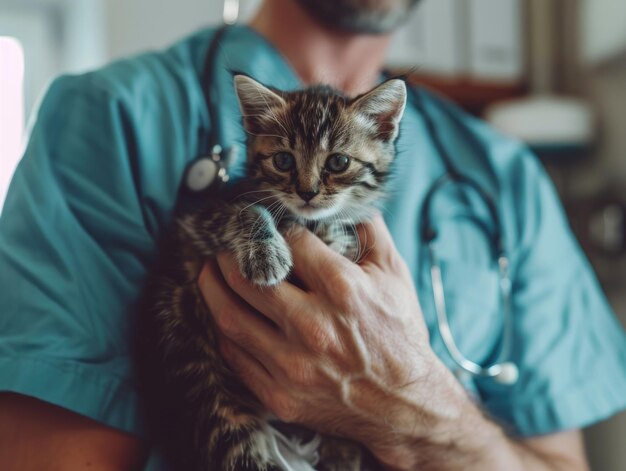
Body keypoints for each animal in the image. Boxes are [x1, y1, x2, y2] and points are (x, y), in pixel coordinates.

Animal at [136, 75, 408, 470]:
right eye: (283, 160)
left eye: (338, 162)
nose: (307, 192)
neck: (311, 223)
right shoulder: (199, 224)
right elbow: (248, 210)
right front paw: (266, 253)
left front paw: (342, 450)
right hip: (210, 391)